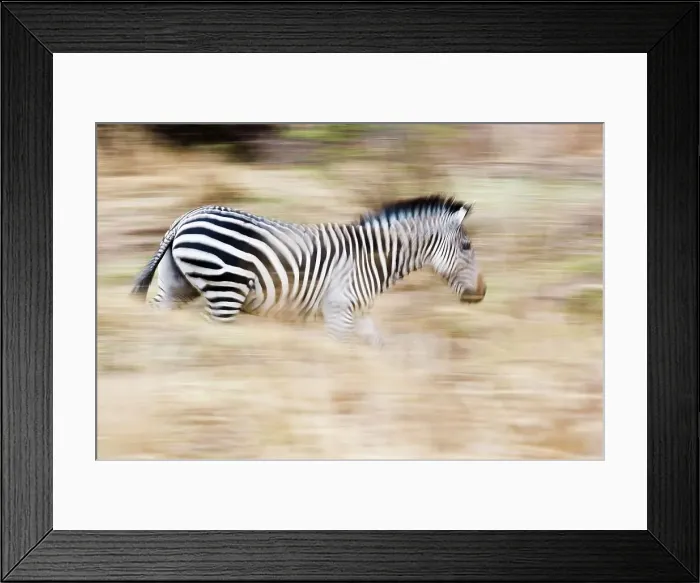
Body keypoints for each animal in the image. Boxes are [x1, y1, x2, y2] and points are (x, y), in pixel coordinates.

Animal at [130, 194, 487, 345]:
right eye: (467, 246)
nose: (483, 293)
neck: (372, 258)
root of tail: (185, 218)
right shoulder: (339, 311)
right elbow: (337, 354)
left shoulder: (359, 314)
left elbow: (378, 347)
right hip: (224, 292)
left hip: (176, 286)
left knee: (160, 321)